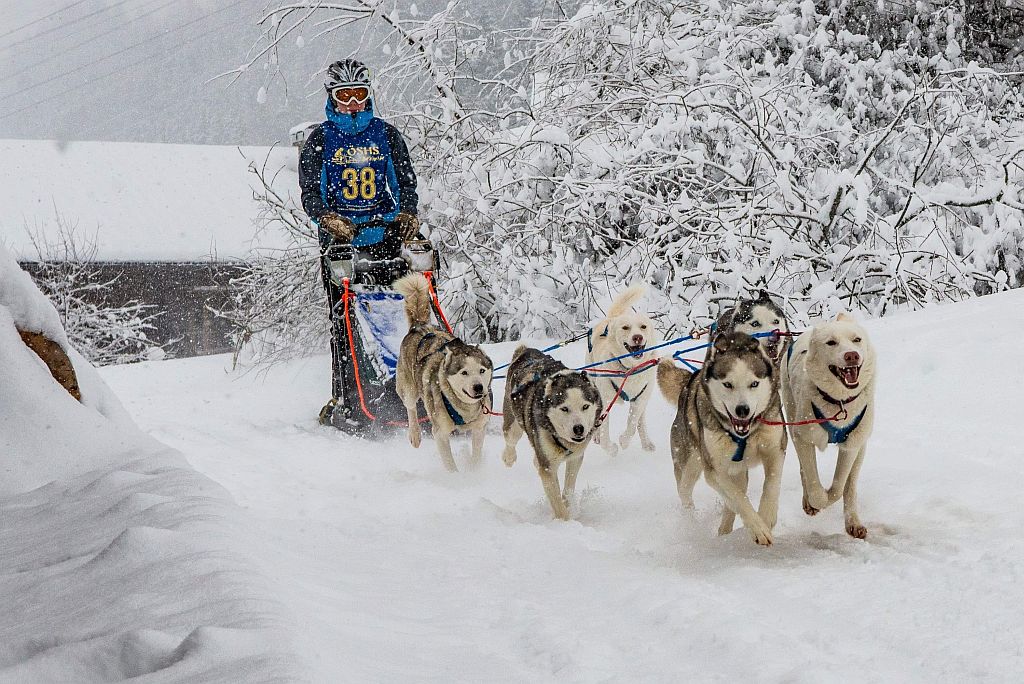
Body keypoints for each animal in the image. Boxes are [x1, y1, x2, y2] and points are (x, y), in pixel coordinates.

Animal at [393, 272, 493, 471]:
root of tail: (420, 326)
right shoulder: (440, 433)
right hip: (408, 388)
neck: (464, 409)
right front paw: (456, 477)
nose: (478, 387)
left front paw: (475, 471)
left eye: (482, 370)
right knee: (410, 407)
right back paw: (415, 434)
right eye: (464, 373)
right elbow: (450, 464)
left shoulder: (479, 428)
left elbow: (476, 455)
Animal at [501, 348, 602, 518]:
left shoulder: (575, 458)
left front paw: (569, 506)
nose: (579, 428)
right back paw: (508, 457)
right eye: (564, 408)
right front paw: (566, 520)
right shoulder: (548, 468)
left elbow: (568, 488)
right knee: (510, 440)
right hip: (513, 423)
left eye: (585, 406)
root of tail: (526, 350)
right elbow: (557, 502)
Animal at [589, 282, 659, 454]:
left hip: (644, 397)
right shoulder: (605, 400)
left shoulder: (639, 399)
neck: (629, 370)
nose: (637, 337)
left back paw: (646, 442)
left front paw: (624, 441)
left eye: (643, 327)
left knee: (640, 420)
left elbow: (632, 425)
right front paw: (611, 448)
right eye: (626, 327)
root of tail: (611, 318)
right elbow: (604, 434)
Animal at [655, 331, 782, 544]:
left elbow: (771, 484)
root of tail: (691, 380)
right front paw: (758, 528)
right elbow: (738, 498)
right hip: (688, 468)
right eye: (728, 384)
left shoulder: (775, 450)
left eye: (754, 383)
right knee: (688, 494)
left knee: (732, 501)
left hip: (738, 471)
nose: (742, 410)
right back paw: (693, 522)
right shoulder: (715, 470)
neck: (745, 436)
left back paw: (724, 531)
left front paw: (766, 517)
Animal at [778, 313, 876, 536]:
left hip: (862, 445)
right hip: (792, 416)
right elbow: (814, 484)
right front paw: (816, 500)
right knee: (804, 471)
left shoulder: (851, 446)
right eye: (831, 343)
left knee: (851, 485)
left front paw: (831, 493)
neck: (840, 402)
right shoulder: (803, 438)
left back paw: (853, 521)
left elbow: (840, 486)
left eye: (857, 340)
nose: (851, 356)